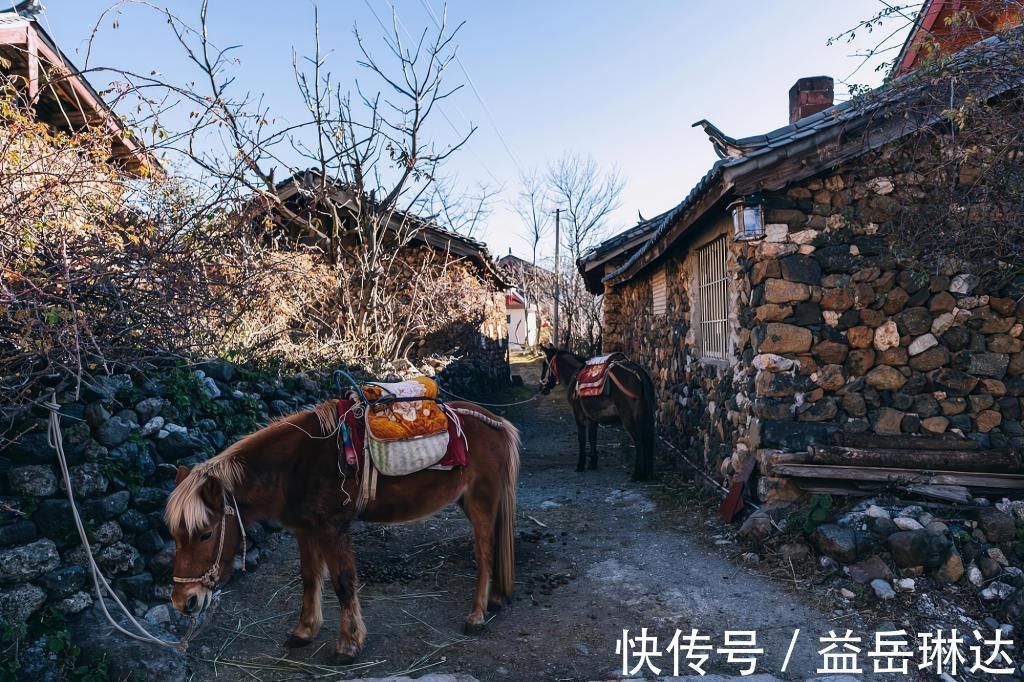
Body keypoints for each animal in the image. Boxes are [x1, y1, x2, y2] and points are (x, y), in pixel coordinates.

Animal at [167, 399, 520, 659]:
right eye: (175, 536)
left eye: (205, 534)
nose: (184, 602)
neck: (295, 466)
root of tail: (498, 423)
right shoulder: (305, 530)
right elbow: (310, 579)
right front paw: (304, 631)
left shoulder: (332, 529)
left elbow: (343, 583)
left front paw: (348, 645)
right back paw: (496, 600)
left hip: (481, 502)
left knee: (485, 556)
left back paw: (476, 616)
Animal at [536, 348, 655, 481]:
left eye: (545, 365)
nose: (541, 388)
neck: (574, 375)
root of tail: (639, 372)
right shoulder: (592, 417)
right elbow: (592, 438)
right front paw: (593, 463)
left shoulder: (579, 415)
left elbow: (582, 439)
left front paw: (580, 465)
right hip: (645, 415)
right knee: (647, 440)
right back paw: (647, 474)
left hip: (628, 418)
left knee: (639, 441)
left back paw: (637, 474)